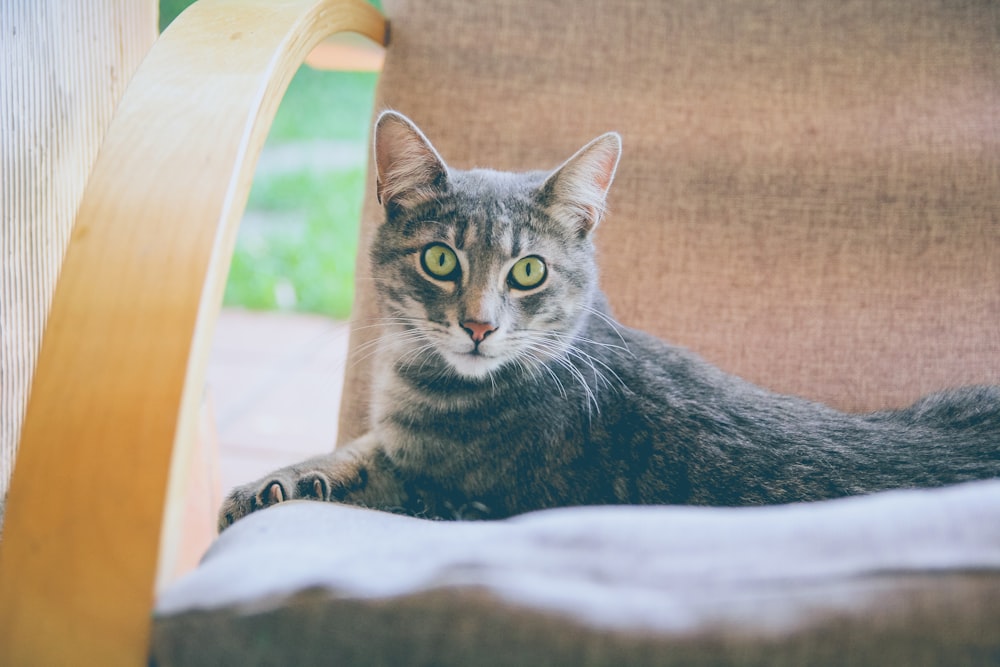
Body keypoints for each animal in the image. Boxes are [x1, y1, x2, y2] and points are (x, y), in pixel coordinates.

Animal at [219, 108, 1000, 528]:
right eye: (440, 259)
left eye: (527, 271)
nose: (479, 327)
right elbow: (350, 456)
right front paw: (280, 481)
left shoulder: (459, 497)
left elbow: (387, 475)